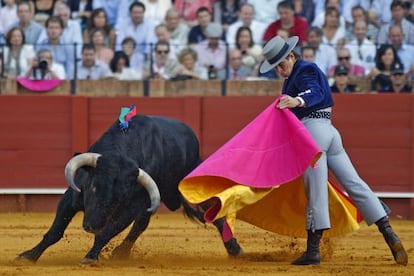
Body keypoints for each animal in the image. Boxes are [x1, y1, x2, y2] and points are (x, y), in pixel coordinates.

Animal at [16, 113, 243, 264]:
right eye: (93, 187)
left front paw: (90, 257)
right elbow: (55, 231)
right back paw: (121, 253)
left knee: (213, 212)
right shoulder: (71, 197)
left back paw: (234, 249)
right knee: (142, 225)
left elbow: (106, 233)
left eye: (119, 198)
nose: (91, 226)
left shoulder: (130, 208)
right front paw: (28, 255)